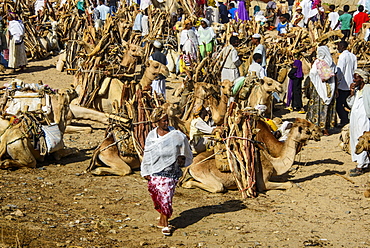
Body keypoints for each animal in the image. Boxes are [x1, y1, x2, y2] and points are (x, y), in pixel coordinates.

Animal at [181, 118, 320, 194]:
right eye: (308, 130)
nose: (319, 132)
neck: (274, 163)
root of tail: (191, 166)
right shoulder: (262, 182)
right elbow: (288, 184)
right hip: (206, 175)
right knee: (218, 187)